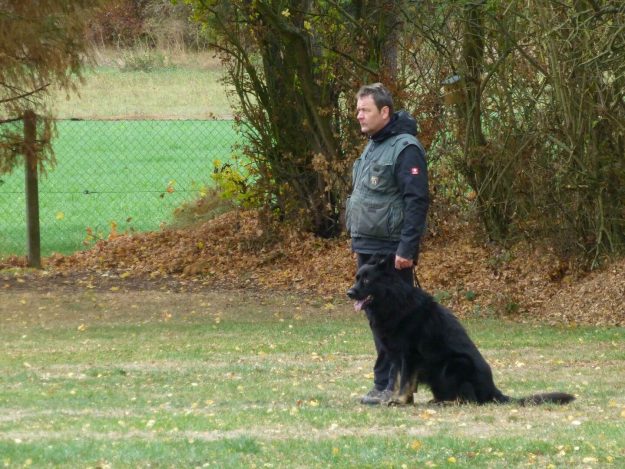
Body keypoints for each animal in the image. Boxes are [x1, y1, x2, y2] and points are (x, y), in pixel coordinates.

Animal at [347, 253, 576, 406]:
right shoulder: (396, 356)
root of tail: (492, 390)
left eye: (366, 279)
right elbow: (395, 380)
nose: (349, 293)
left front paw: (400, 400)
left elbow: (405, 382)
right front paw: (396, 399)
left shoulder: (409, 356)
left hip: (455, 364)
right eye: (357, 277)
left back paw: (445, 403)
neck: (392, 301)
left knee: (469, 400)